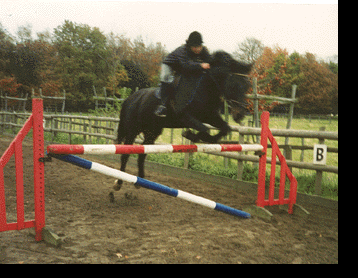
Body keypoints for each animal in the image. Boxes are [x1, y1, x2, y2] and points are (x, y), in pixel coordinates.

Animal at [114, 50, 252, 189]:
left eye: (247, 87)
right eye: (234, 85)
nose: (240, 115)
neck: (204, 87)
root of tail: (130, 98)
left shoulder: (210, 116)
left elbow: (225, 128)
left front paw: (205, 138)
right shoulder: (184, 116)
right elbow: (204, 128)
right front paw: (190, 134)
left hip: (152, 132)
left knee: (142, 153)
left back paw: (140, 181)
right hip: (132, 130)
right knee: (125, 154)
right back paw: (118, 183)